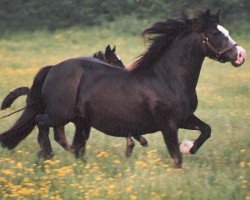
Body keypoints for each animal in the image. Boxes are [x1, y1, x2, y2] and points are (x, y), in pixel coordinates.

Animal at [0, 45, 148, 156]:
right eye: (115, 62)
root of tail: (51, 69)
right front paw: (134, 144)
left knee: (58, 137)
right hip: (59, 116)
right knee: (55, 134)